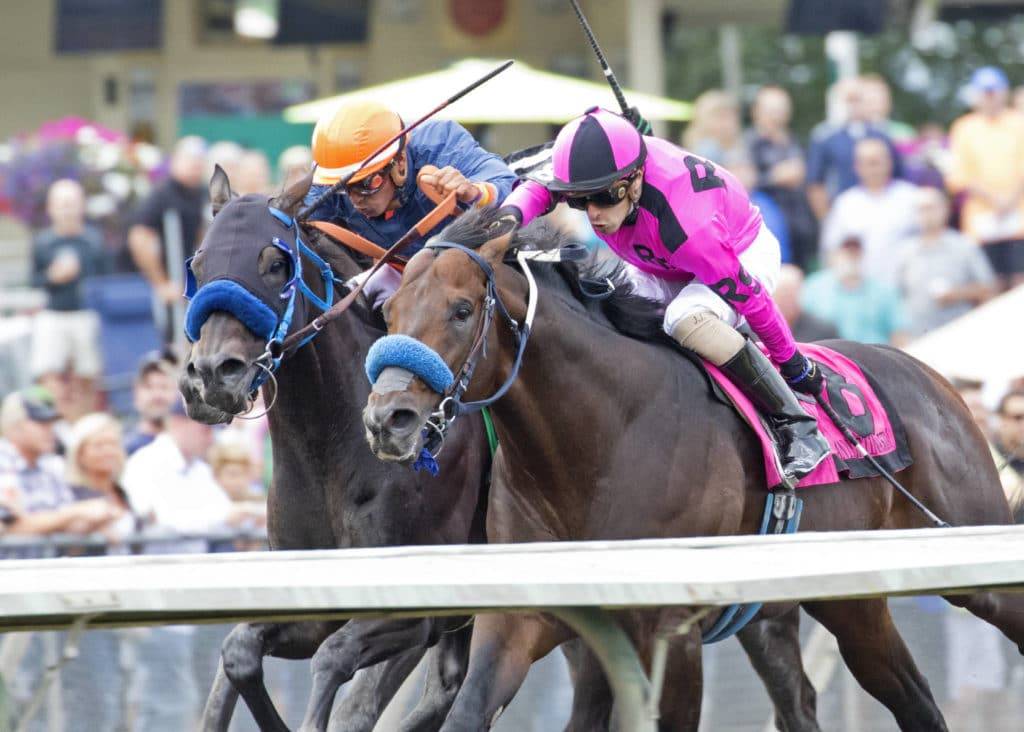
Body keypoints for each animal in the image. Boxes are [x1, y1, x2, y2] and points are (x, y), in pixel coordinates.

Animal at [362, 207, 1024, 732]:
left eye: (461, 309)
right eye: (387, 311)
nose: (387, 418)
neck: (600, 438)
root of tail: (933, 376)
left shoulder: (670, 630)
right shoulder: (522, 620)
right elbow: (469, 710)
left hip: (968, 556)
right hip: (844, 602)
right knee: (907, 698)